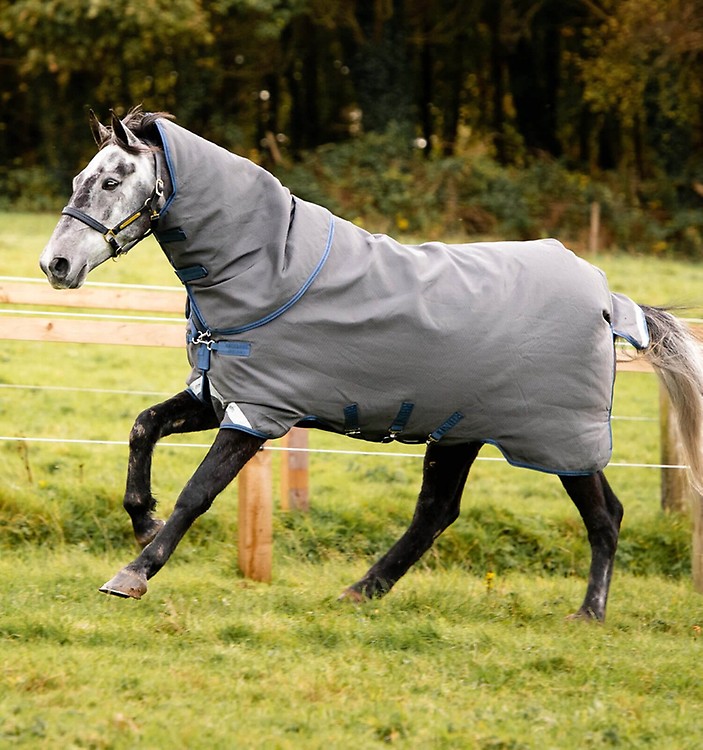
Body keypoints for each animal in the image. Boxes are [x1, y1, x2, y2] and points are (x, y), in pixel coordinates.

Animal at [40, 108, 703, 621]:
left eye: (111, 181)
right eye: (80, 177)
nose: (56, 265)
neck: (269, 268)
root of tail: (609, 299)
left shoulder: (258, 413)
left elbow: (198, 492)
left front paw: (135, 571)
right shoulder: (219, 395)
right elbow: (143, 427)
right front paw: (142, 519)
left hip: (558, 437)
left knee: (606, 515)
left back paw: (589, 612)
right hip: (459, 430)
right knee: (435, 514)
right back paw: (361, 591)